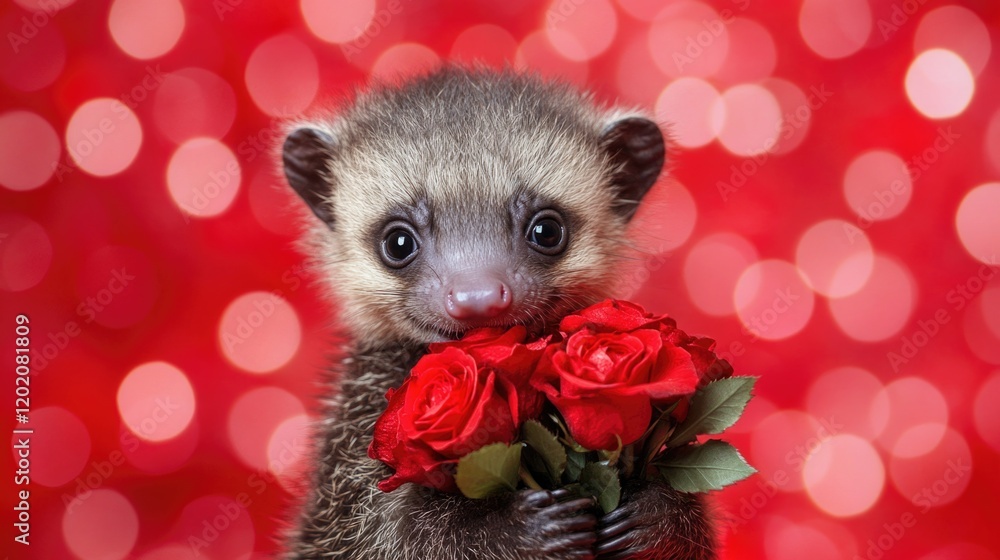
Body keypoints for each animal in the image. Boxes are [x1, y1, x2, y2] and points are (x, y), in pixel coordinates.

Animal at [281, 67, 714, 560]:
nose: (479, 299)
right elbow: (397, 534)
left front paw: (659, 513)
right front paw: (517, 528)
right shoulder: (354, 454)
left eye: (547, 230)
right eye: (398, 242)